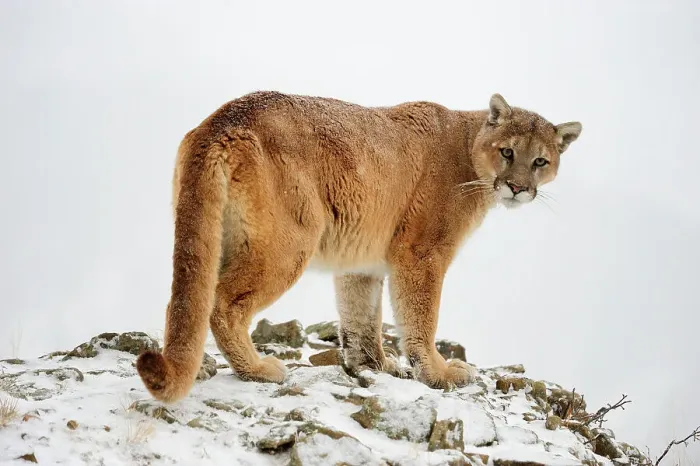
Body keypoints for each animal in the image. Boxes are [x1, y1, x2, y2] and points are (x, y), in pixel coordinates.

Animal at [136, 91, 582, 402]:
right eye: (508, 151)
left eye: (540, 161)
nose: (518, 187)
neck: (470, 150)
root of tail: (224, 116)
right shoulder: (422, 252)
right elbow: (421, 316)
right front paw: (437, 373)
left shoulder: (361, 261)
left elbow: (361, 316)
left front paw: (373, 366)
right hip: (289, 242)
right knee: (222, 304)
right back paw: (258, 369)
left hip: (214, 234)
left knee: (189, 298)